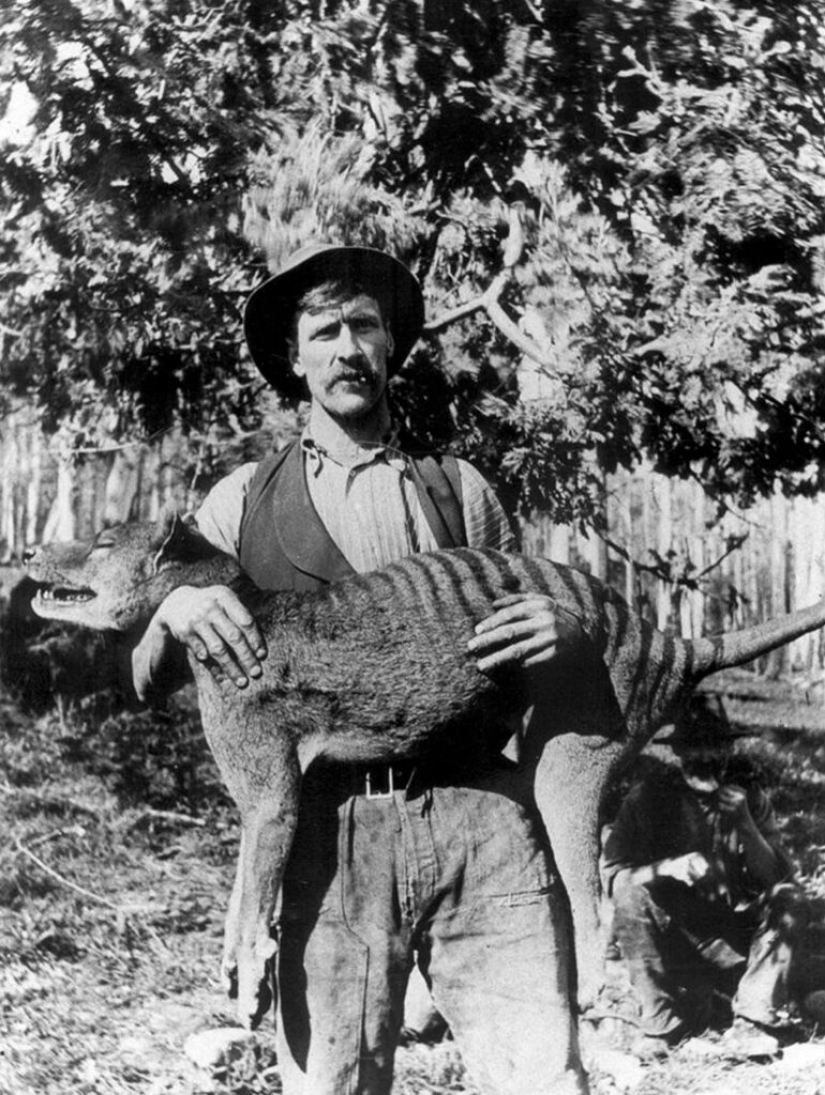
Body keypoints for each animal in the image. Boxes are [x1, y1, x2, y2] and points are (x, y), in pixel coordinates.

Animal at [24, 509, 825, 1029]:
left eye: (100, 542)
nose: (29, 551)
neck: (241, 608)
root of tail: (666, 640)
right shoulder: (256, 804)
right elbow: (242, 886)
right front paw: (229, 962)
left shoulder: (271, 790)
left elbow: (257, 885)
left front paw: (250, 977)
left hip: (578, 754)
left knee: (594, 892)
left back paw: (589, 987)